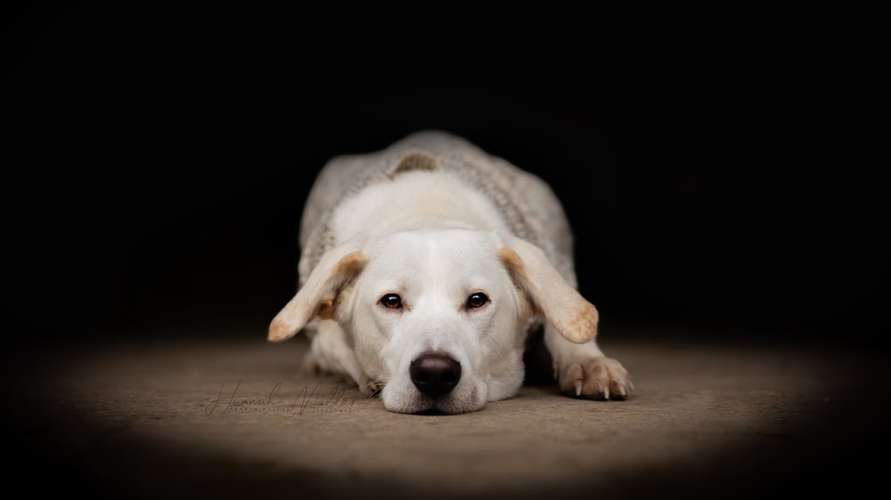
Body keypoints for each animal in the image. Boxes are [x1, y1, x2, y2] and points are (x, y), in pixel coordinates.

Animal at [268, 130, 632, 414]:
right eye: (391, 301)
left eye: (477, 300)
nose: (434, 373)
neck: (427, 209)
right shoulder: (324, 325)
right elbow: (337, 345)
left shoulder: (551, 260)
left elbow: (563, 316)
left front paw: (588, 363)